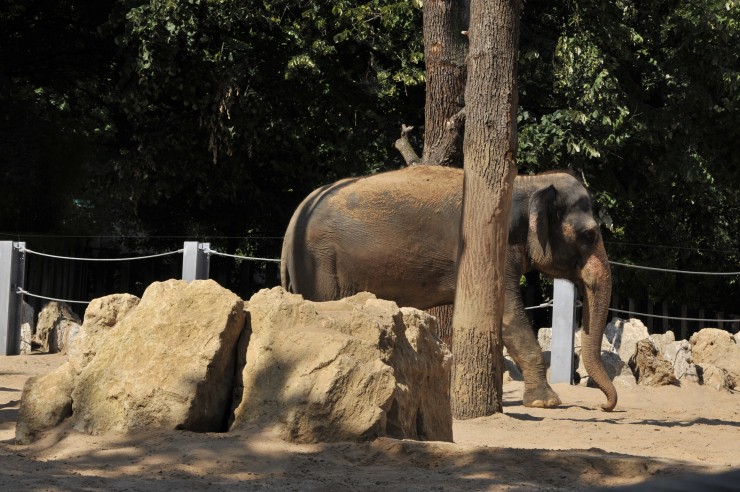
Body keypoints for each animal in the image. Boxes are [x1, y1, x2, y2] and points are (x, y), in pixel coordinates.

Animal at [280, 164, 616, 412]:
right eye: (589, 235)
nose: (603, 407)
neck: (529, 183)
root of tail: (294, 218)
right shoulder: (491, 248)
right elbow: (508, 315)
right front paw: (546, 403)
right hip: (321, 265)